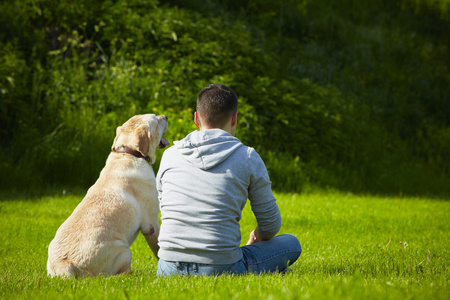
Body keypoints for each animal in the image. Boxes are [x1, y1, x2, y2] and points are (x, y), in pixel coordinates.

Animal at [47, 113, 170, 278]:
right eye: (156, 120)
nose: (165, 116)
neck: (128, 154)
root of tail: (65, 264)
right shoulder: (151, 224)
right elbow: (158, 249)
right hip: (125, 251)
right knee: (121, 273)